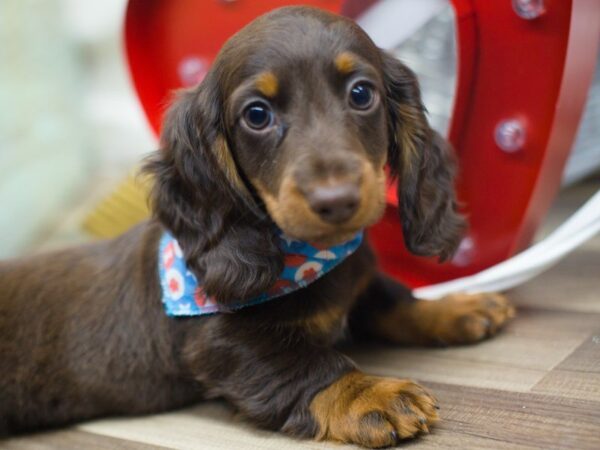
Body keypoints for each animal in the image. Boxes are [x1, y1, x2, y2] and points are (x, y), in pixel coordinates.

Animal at [1, 6, 516, 446]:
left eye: (361, 93)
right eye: (256, 115)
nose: (337, 201)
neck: (310, 259)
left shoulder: (361, 284)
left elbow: (394, 299)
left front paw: (456, 307)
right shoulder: (221, 343)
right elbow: (307, 365)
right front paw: (370, 394)